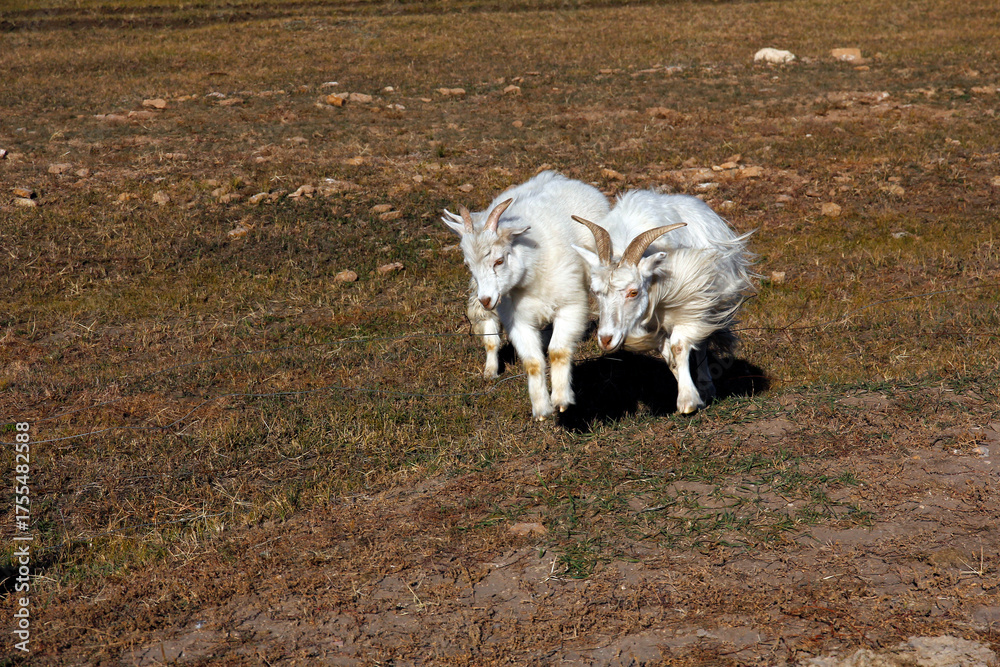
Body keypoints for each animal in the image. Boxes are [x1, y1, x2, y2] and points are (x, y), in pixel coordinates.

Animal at [442, 171, 611, 420]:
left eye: (499, 260)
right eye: (467, 265)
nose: (486, 300)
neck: (532, 274)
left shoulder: (570, 306)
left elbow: (558, 351)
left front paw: (561, 400)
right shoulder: (517, 320)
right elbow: (532, 362)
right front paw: (541, 408)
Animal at [571, 191, 755, 414]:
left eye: (633, 292)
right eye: (595, 292)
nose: (606, 339)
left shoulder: (690, 301)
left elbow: (679, 346)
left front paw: (688, 401)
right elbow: (668, 356)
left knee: (701, 343)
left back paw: (706, 387)